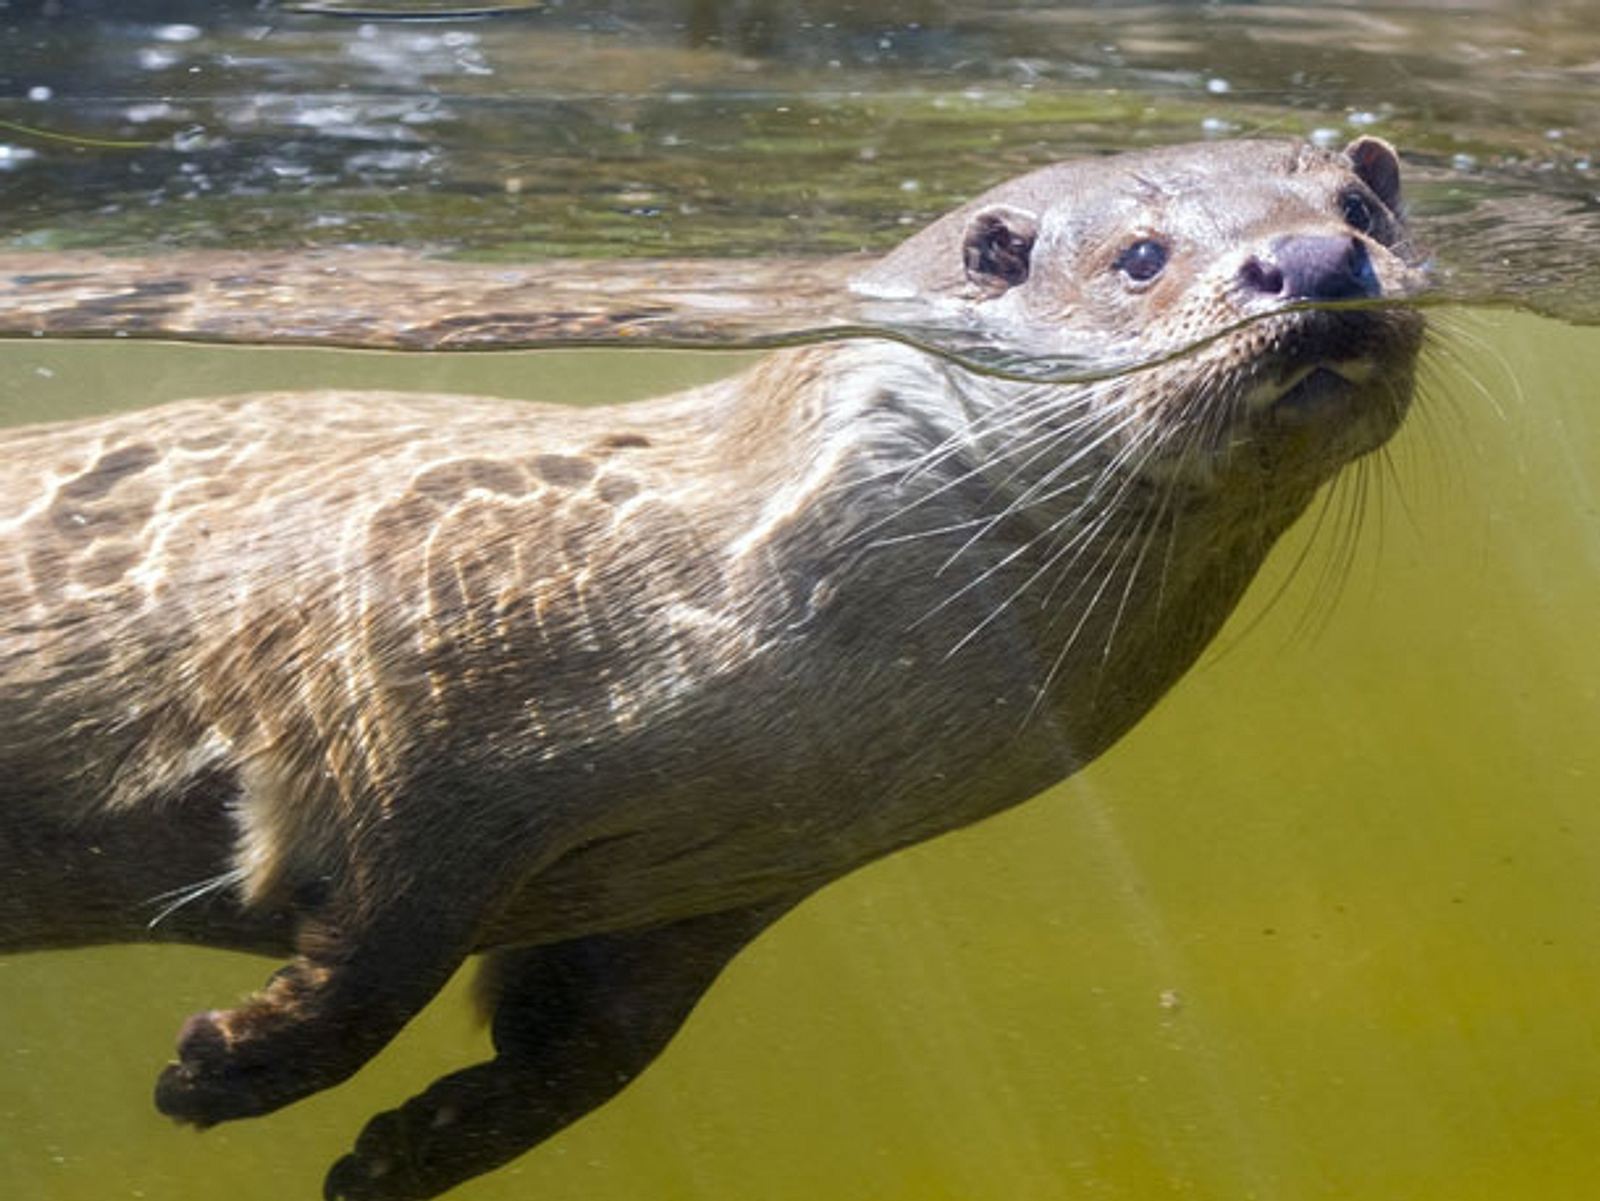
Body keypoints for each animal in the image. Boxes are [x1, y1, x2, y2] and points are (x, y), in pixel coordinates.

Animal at [0, 140, 1427, 1201]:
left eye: (1360, 210)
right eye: (1140, 257)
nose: (1317, 264)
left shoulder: (720, 882)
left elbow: (587, 1046)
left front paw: (409, 1149)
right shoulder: (399, 684)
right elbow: (379, 942)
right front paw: (224, 1066)